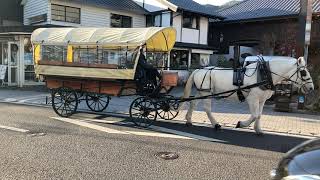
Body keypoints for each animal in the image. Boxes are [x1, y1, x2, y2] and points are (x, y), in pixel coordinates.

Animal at [182, 57, 316, 134]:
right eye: (303, 72)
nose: (311, 88)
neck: (264, 74)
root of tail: (199, 70)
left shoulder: (262, 100)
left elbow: (259, 115)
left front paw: (258, 130)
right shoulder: (253, 99)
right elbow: (255, 115)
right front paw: (241, 124)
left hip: (201, 92)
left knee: (193, 102)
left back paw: (188, 120)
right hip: (207, 92)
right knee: (207, 109)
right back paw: (216, 124)